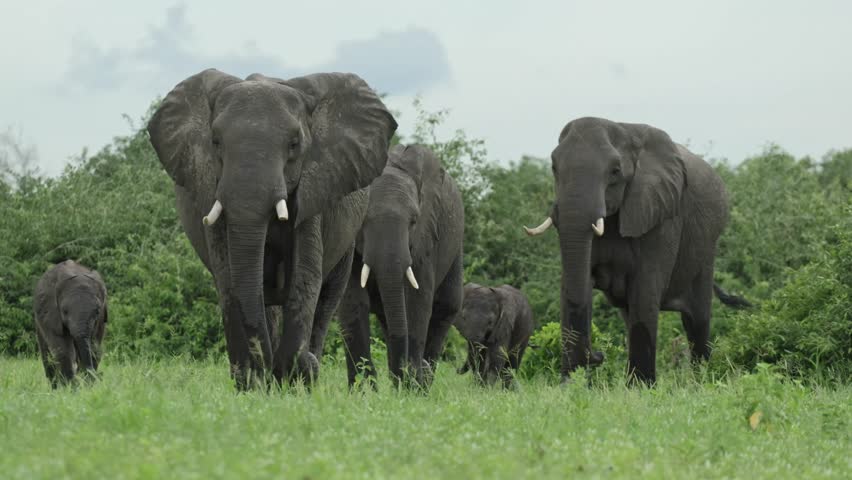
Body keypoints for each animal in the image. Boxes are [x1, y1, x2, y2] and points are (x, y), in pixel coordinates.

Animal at [147, 69, 397, 389]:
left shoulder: (313, 189)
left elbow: (304, 276)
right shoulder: (210, 190)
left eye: (294, 145)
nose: (266, 370)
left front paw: (291, 378)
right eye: (215, 142)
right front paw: (252, 384)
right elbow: (230, 278)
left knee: (327, 298)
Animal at [335, 144, 464, 389]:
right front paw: (364, 391)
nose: (404, 374)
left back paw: (423, 384)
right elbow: (352, 300)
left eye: (413, 221)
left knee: (445, 307)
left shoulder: (425, 238)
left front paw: (411, 389)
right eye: (362, 220)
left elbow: (416, 301)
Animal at [524, 117, 750, 384]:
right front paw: (570, 385)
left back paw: (700, 380)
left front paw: (641, 387)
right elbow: (575, 285)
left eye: (615, 171)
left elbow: (645, 291)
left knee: (697, 320)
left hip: (706, 249)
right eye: (554, 167)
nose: (598, 355)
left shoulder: (662, 215)